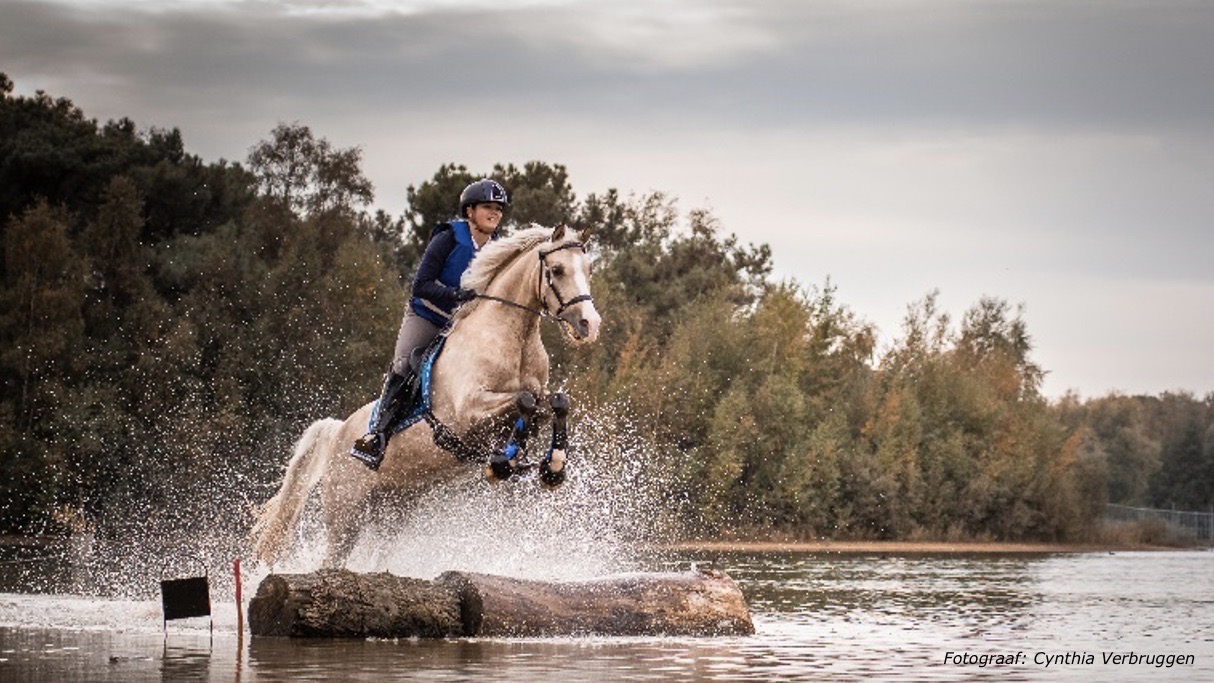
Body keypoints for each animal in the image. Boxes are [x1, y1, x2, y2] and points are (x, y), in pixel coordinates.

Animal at [248, 226, 599, 570]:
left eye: (589, 269)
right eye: (557, 270)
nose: (590, 324)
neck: (514, 338)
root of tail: (338, 432)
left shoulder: (533, 401)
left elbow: (554, 403)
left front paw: (552, 467)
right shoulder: (468, 412)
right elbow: (524, 401)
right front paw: (502, 463)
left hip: (394, 511)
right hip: (346, 515)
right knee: (331, 560)